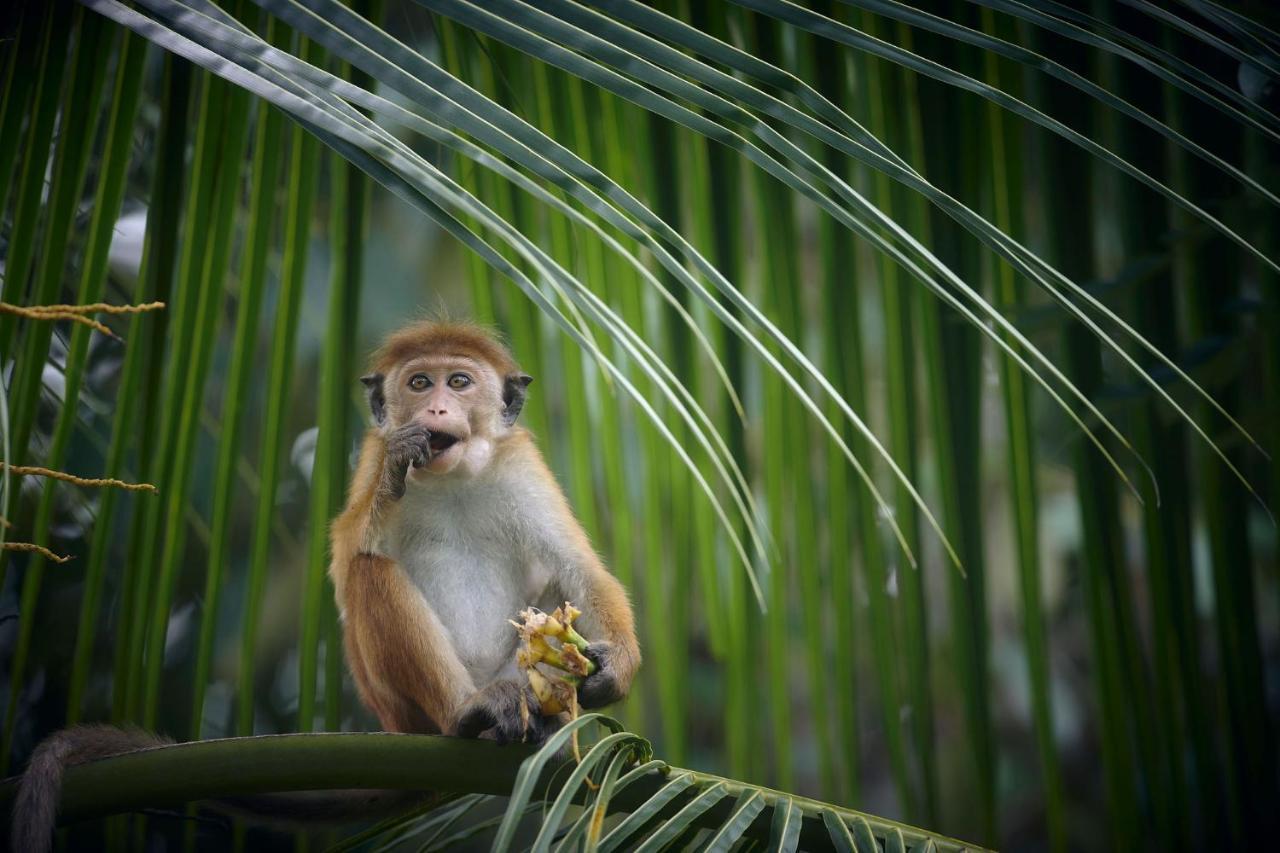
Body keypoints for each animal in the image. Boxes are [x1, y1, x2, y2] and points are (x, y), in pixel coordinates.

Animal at [330, 318, 640, 742]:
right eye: (419, 383)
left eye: (459, 382)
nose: (437, 407)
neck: (452, 478)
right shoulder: (374, 452)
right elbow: (345, 557)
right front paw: (395, 470)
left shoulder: (519, 462)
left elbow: (578, 567)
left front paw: (619, 664)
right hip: (405, 713)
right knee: (367, 570)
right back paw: (467, 711)